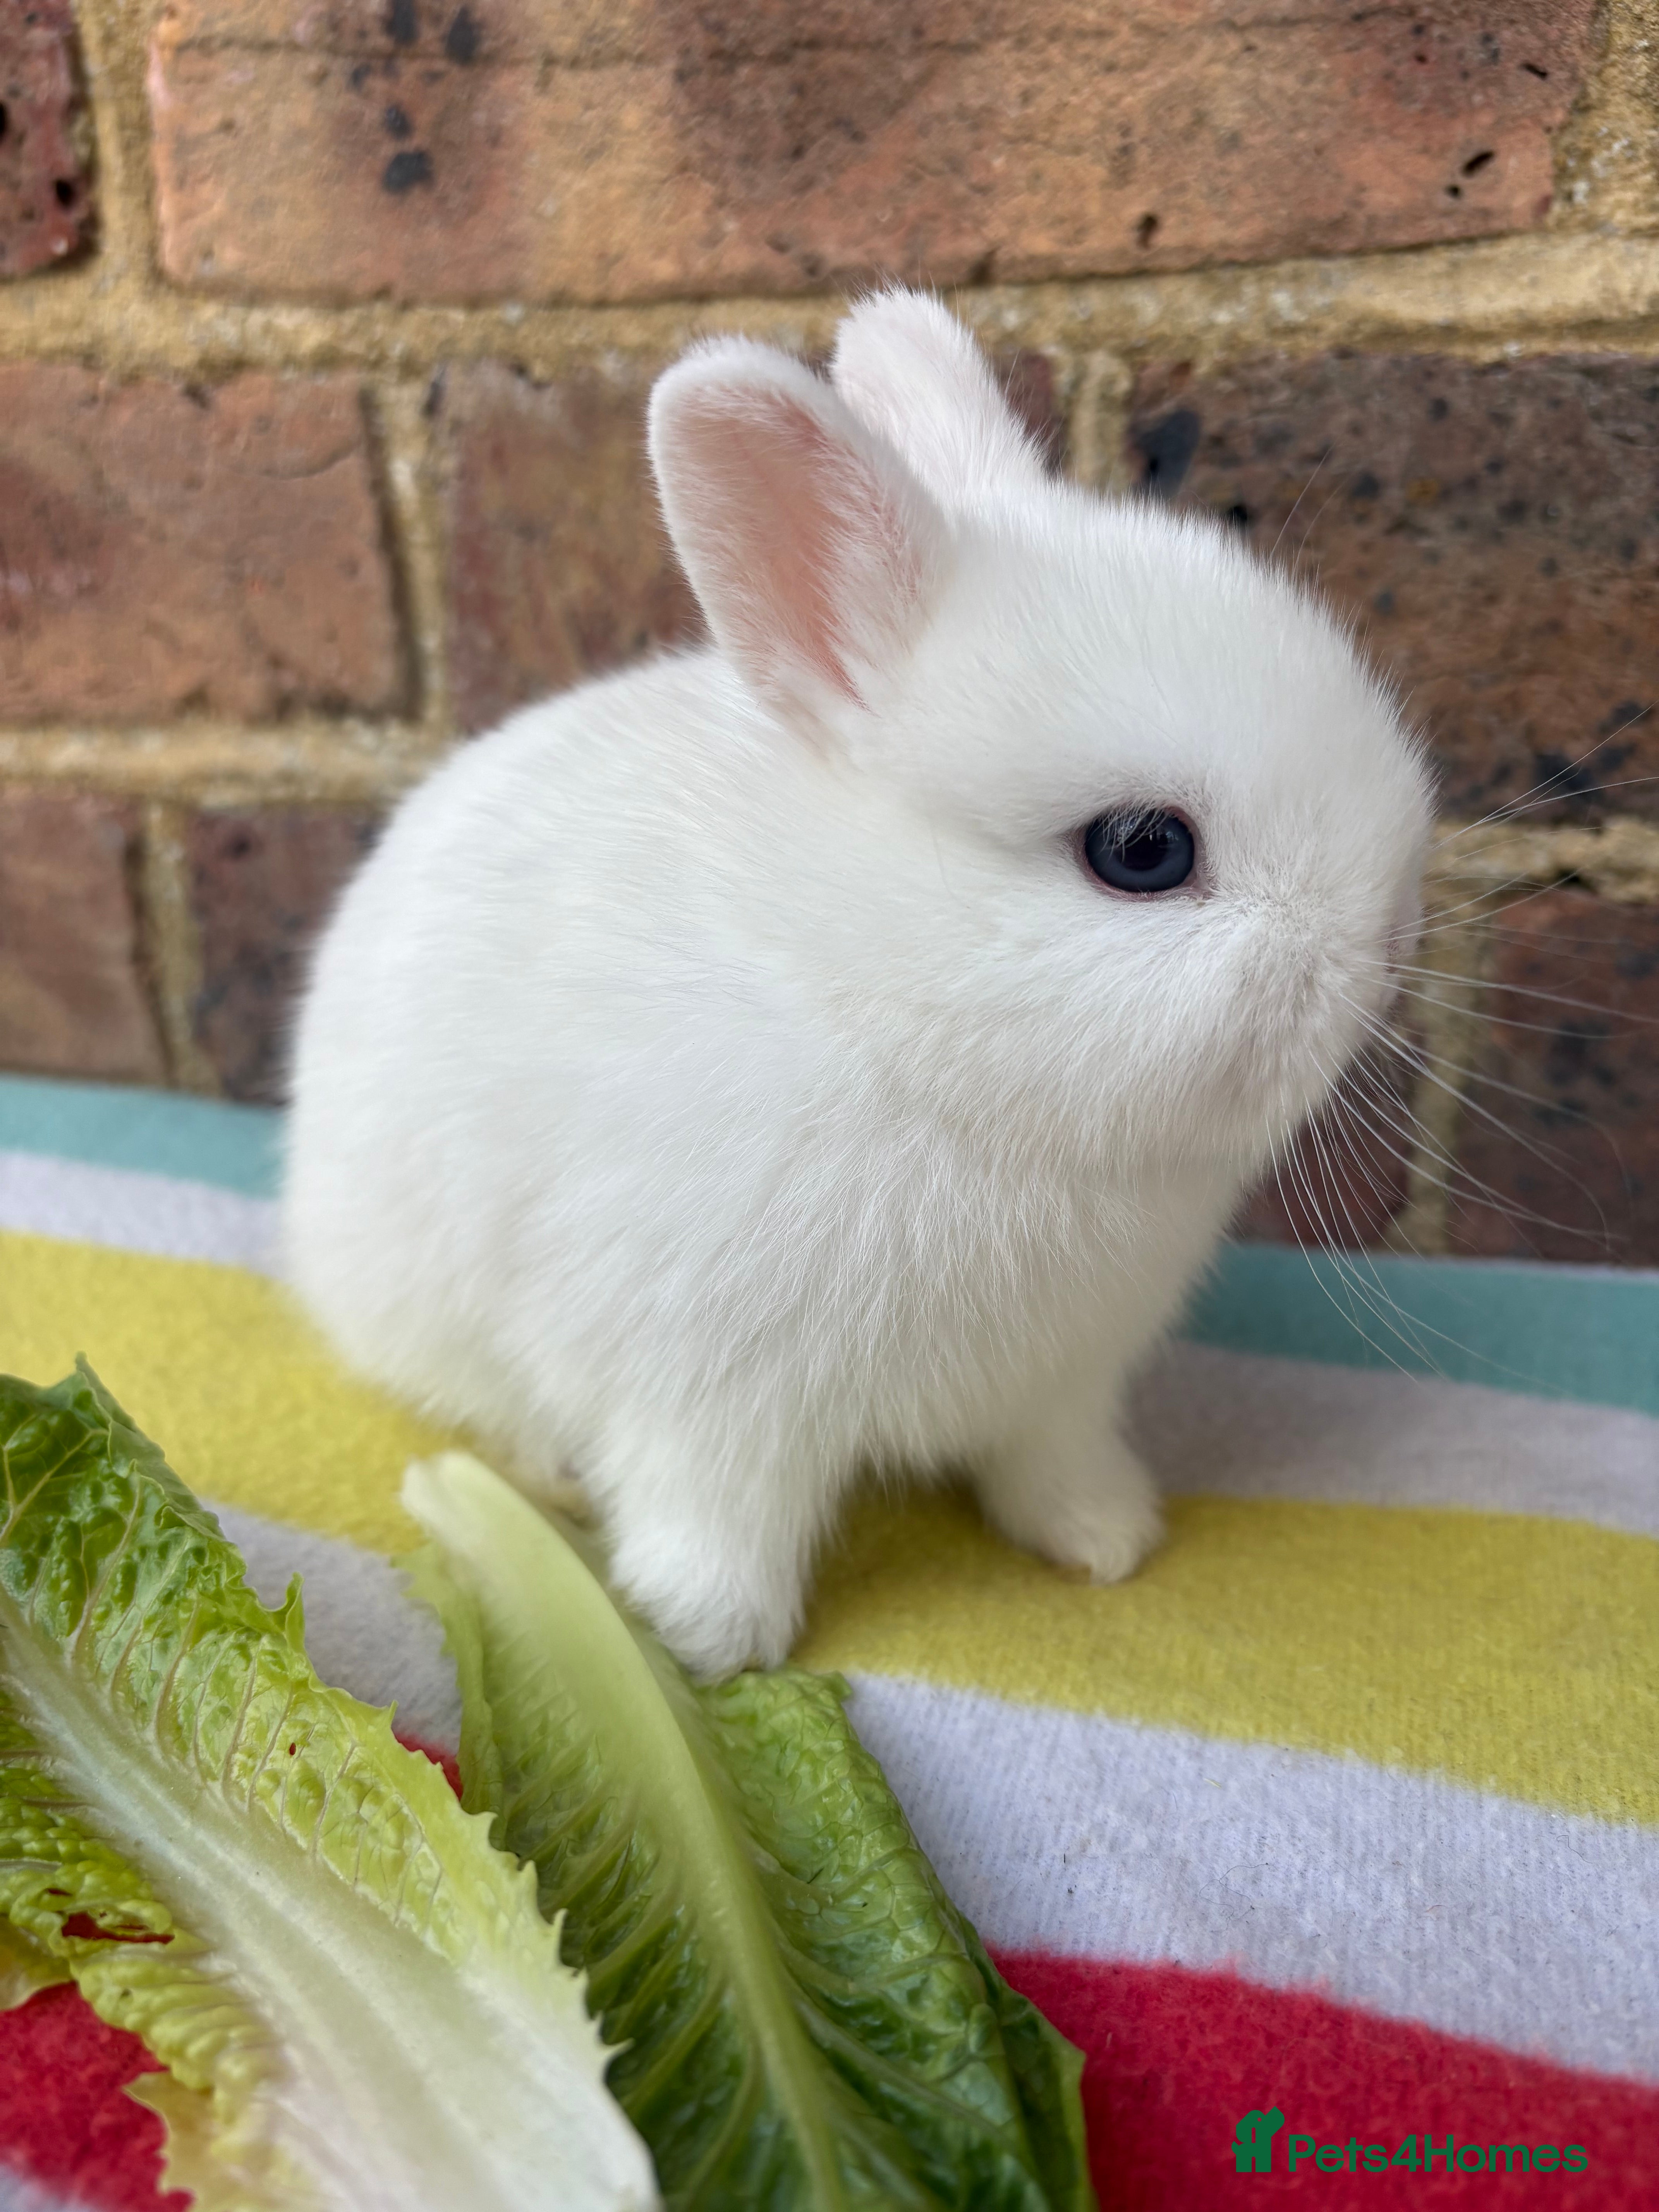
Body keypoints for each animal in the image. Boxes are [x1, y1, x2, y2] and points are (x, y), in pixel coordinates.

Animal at [283, 288, 1432, 1678]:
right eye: (1142, 851)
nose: (1389, 942)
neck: (884, 1018)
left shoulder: (1059, 1386)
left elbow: (1051, 1467)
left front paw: (1107, 1543)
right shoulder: (704, 1393)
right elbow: (713, 1515)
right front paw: (709, 1641)